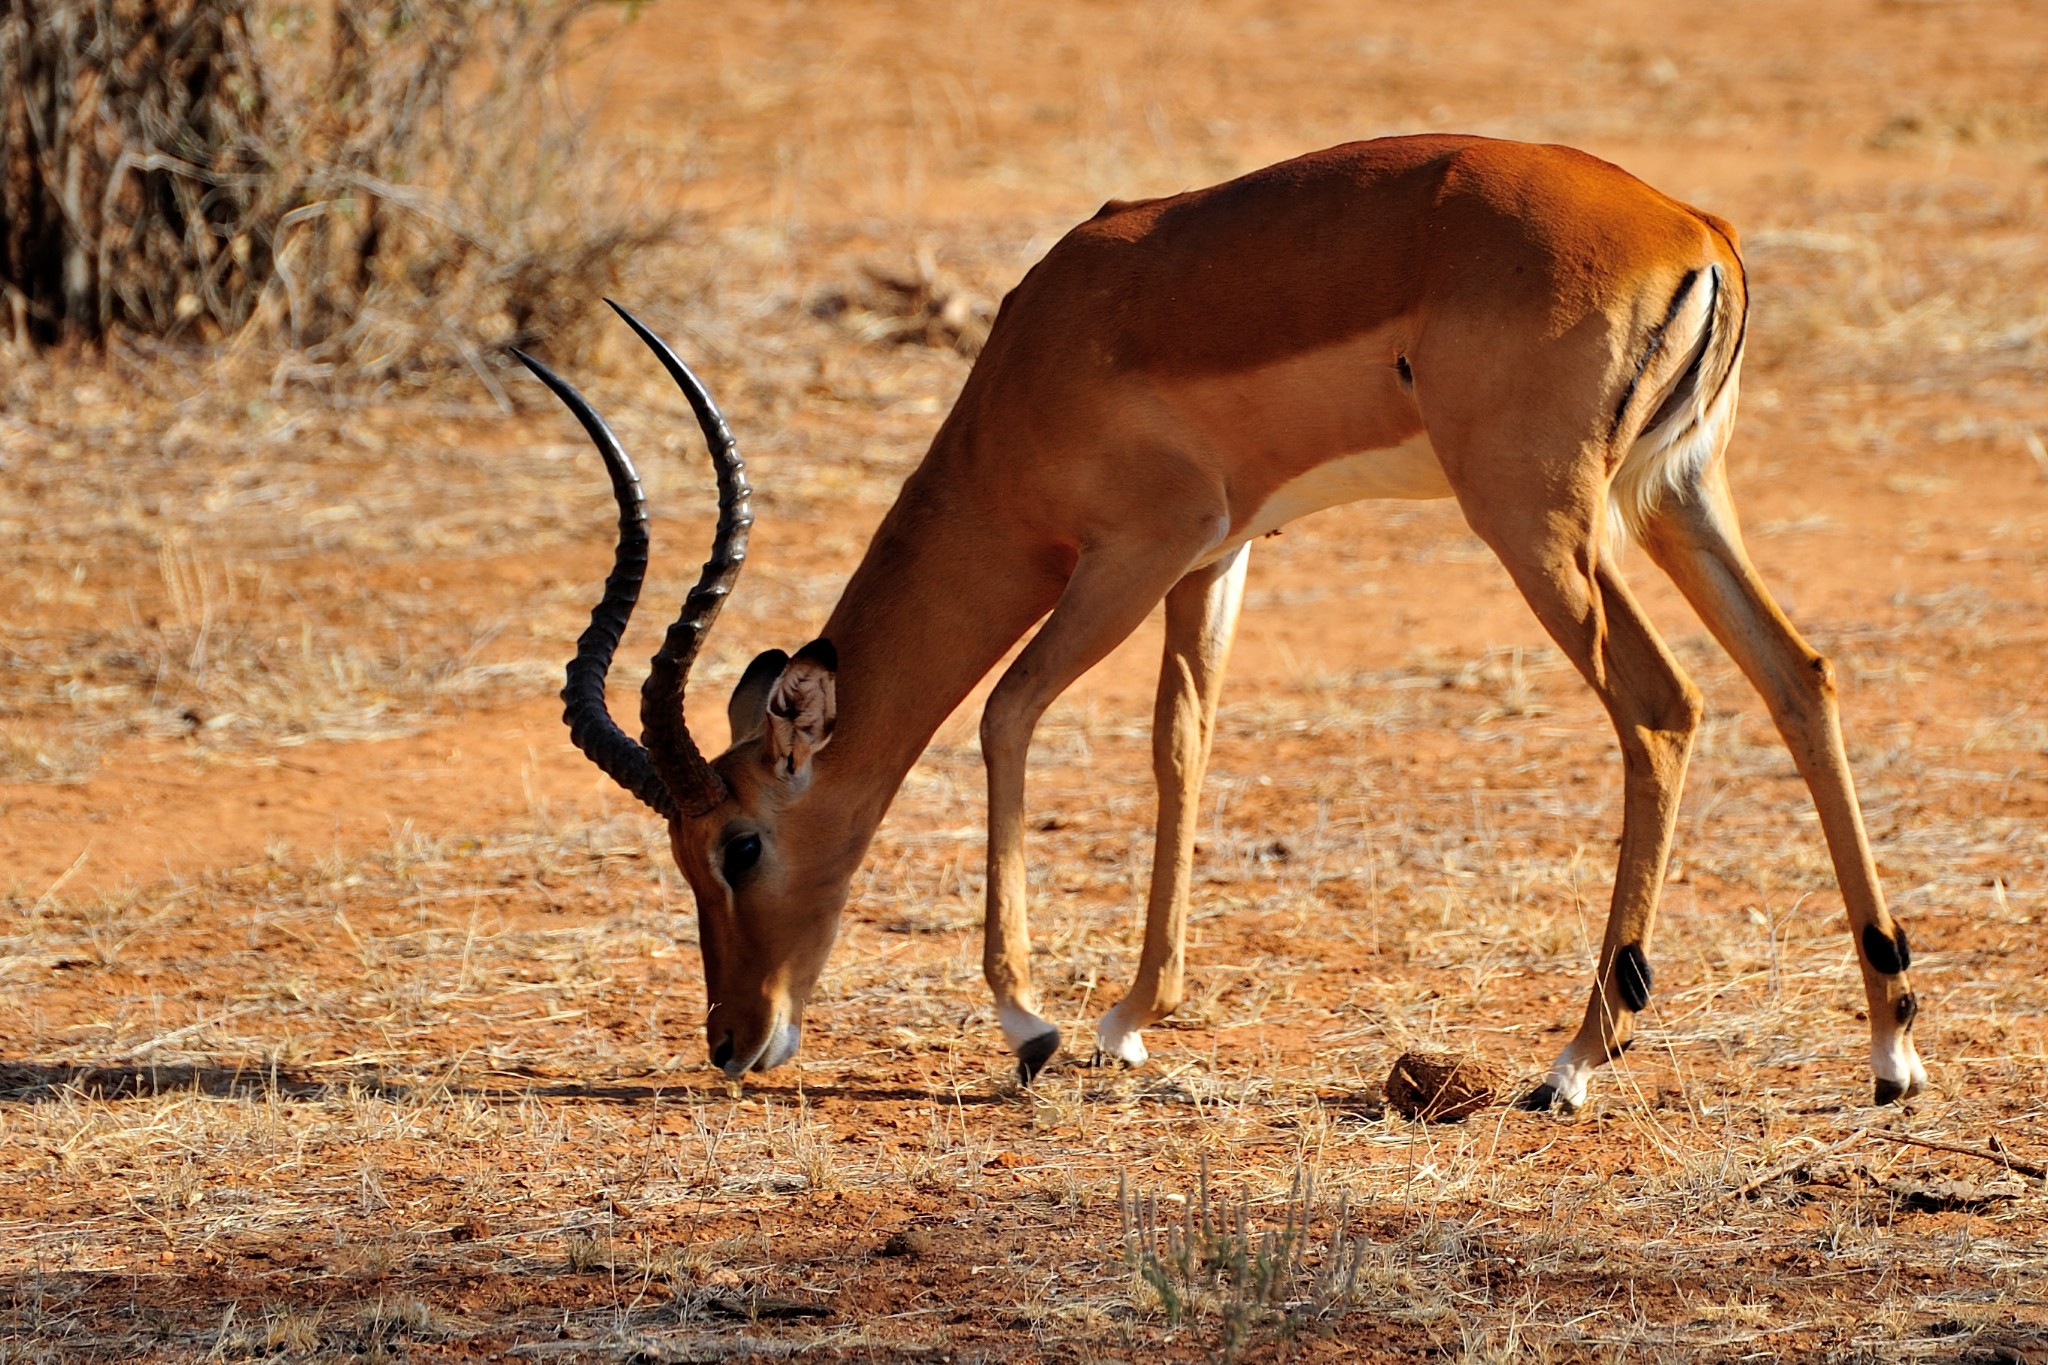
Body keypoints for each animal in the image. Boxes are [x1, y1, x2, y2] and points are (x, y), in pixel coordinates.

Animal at [512, 133, 1916, 1113]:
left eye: (738, 844)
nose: (731, 1038)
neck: (1041, 359)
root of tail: (1694, 229)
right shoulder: (1219, 554)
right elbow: (1179, 744)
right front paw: (1133, 1017)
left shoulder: (1133, 553)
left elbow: (1005, 716)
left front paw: (1034, 1026)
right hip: (1672, 497)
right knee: (1798, 676)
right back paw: (1889, 1048)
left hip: (1539, 526)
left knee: (1662, 706)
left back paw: (1572, 1062)